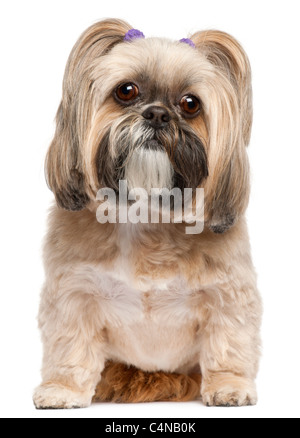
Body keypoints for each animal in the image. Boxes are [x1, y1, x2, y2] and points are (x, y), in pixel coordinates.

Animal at [34, 18, 262, 408]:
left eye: (190, 104)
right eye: (126, 91)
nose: (157, 114)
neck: (146, 212)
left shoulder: (228, 292)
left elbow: (229, 341)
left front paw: (229, 385)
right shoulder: (73, 293)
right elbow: (69, 345)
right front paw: (61, 389)